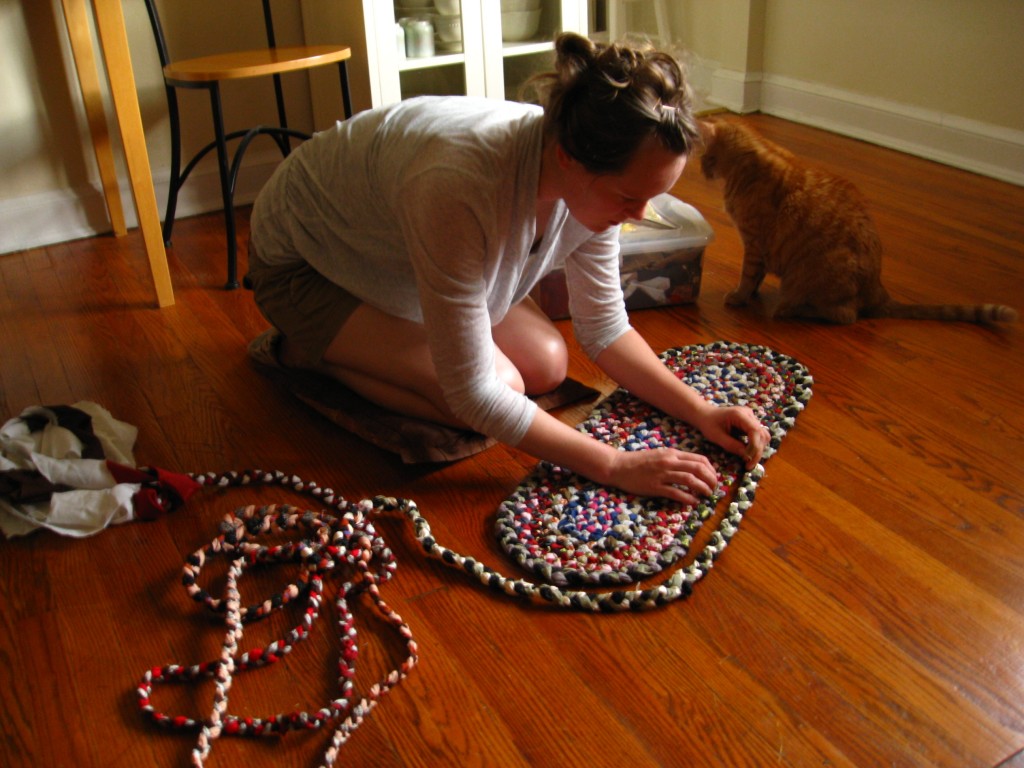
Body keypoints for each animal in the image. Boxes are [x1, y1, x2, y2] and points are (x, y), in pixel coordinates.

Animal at [696, 118, 1015, 325]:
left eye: (703, 158)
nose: (700, 171)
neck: (746, 162)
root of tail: (878, 287)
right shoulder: (758, 248)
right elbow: (756, 278)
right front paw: (750, 295)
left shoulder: (753, 243)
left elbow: (748, 276)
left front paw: (739, 297)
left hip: (810, 278)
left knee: (845, 315)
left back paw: (790, 309)